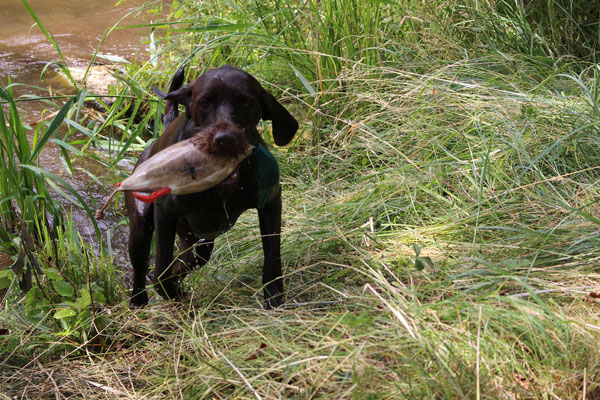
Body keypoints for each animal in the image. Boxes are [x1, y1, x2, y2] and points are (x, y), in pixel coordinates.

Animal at [126, 66, 298, 310]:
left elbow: (272, 258)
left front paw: (274, 298)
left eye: (245, 101)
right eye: (205, 102)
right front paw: (174, 294)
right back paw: (139, 301)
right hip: (141, 227)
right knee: (142, 267)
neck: (220, 189)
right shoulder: (164, 212)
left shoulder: (271, 202)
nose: (225, 139)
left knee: (189, 260)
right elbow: (160, 272)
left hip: (198, 240)